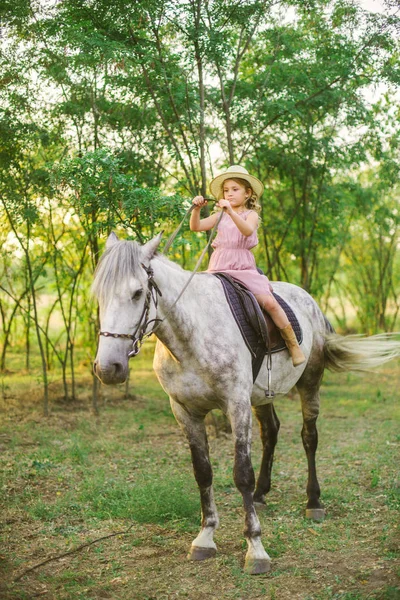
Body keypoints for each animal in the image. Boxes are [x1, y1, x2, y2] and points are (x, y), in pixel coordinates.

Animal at [92, 232, 398, 576]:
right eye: (100, 295)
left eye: (137, 292)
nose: (108, 368)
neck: (192, 335)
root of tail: (310, 302)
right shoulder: (185, 412)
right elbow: (203, 472)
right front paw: (205, 536)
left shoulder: (235, 404)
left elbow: (241, 473)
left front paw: (255, 547)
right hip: (262, 395)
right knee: (271, 432)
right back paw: (262, 494)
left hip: (309, 384)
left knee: (309, 437)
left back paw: (313, 502)